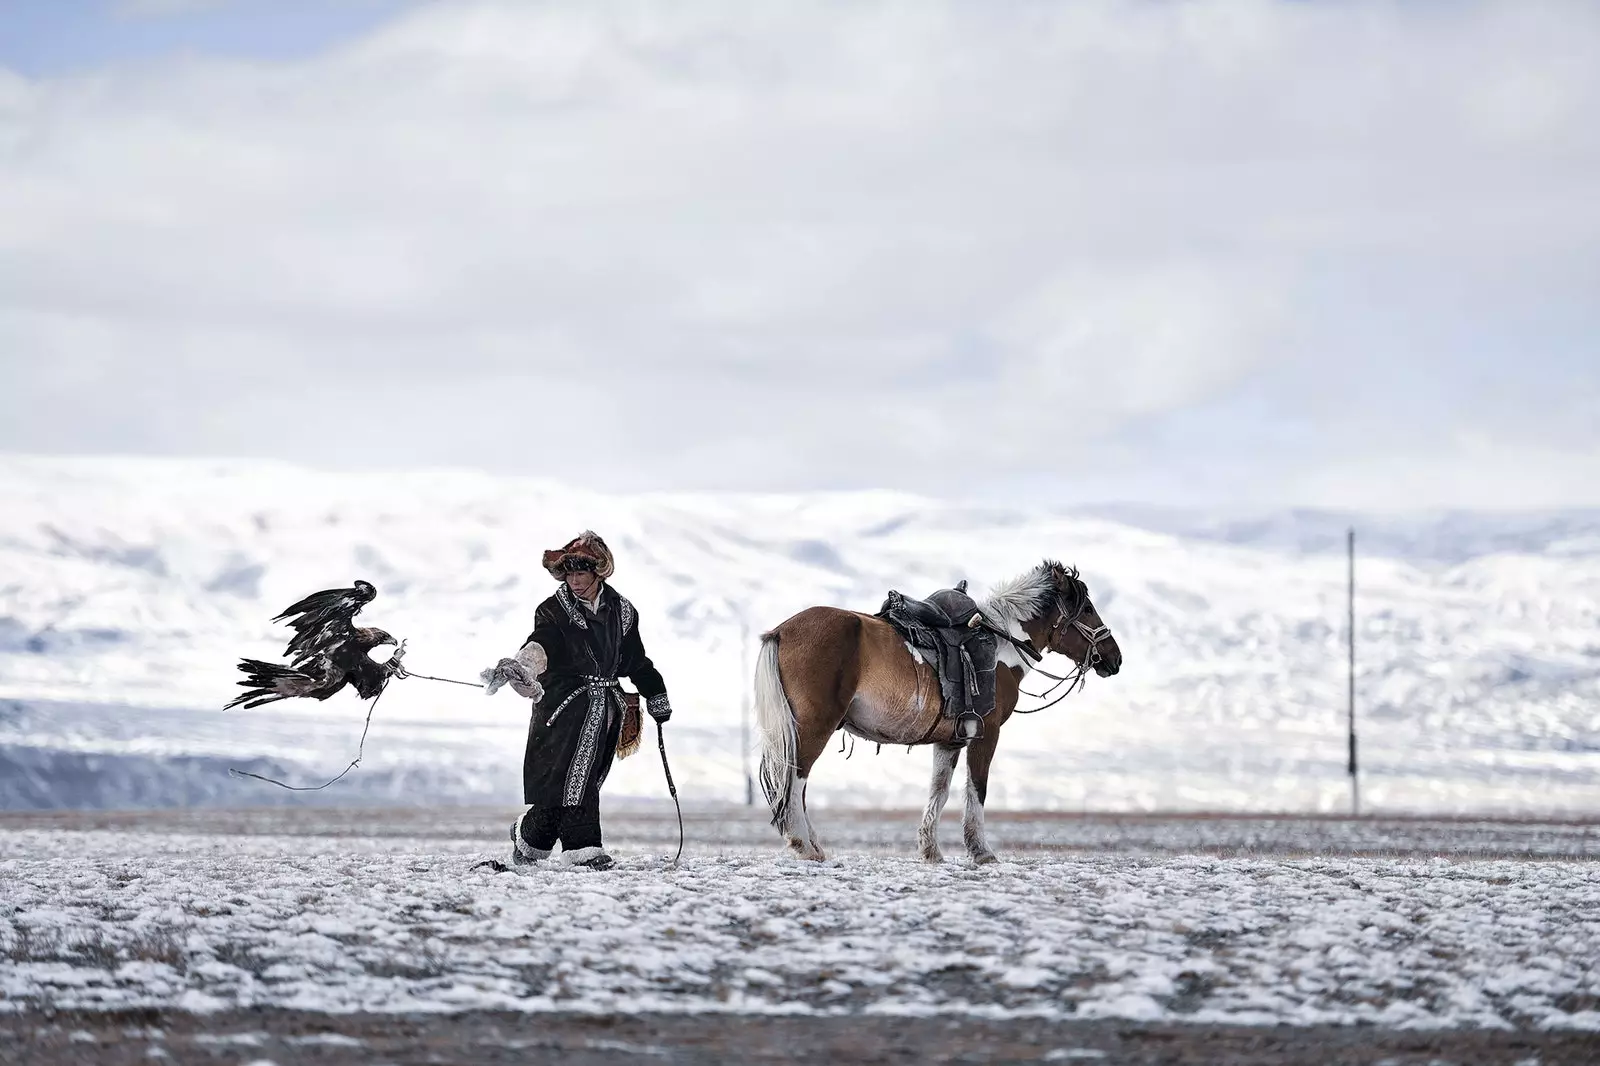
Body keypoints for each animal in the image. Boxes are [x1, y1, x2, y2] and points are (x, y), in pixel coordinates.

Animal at [752, 560, 1120, 857]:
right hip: (815, 726)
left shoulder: (949, 740)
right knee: (796, 778)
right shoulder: (986, 734)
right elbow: (977, 789)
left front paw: (930, 850)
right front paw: (981, 852)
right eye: (1088, 609)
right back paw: (802, 845)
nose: (1114, 658)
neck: (1001, 644)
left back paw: (813, 845)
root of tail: (781, 630)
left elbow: (938, 792)